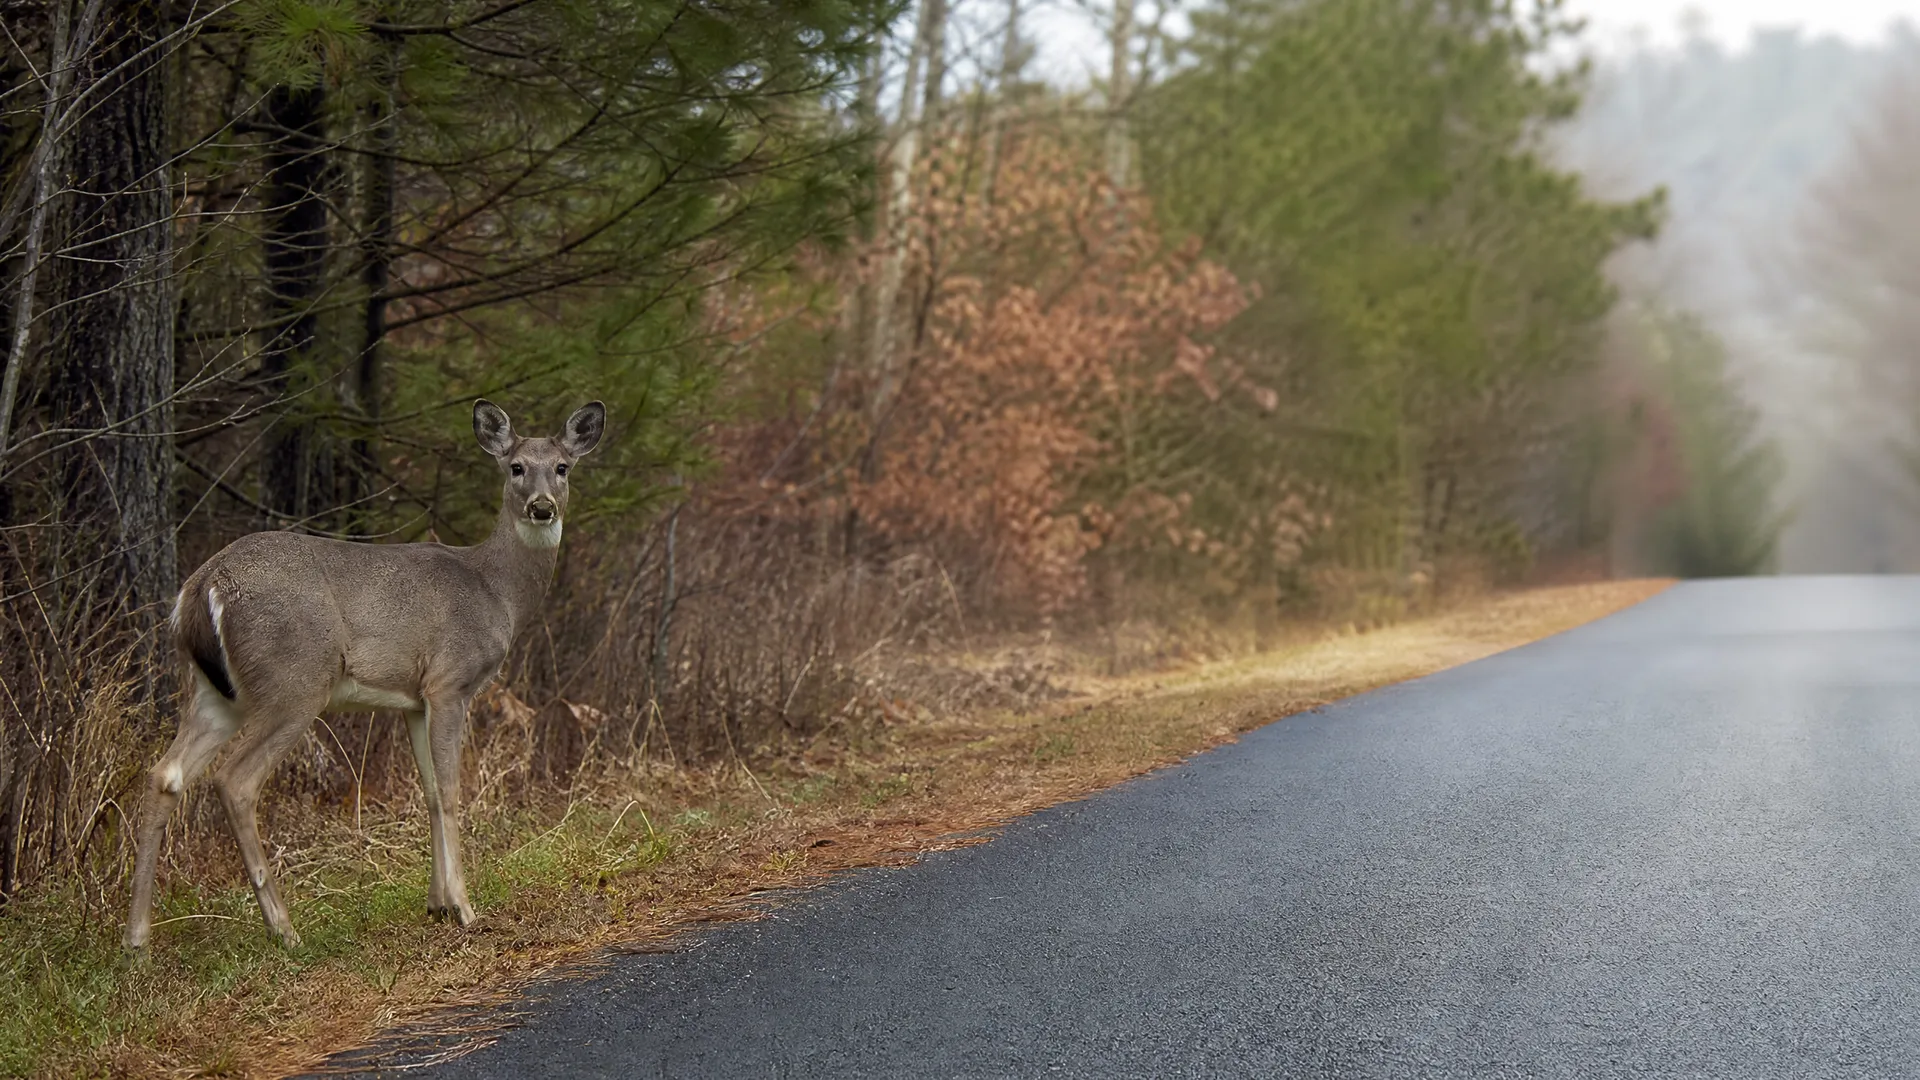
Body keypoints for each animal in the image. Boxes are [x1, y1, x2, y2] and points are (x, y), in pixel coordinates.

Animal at [123, 399, 605, 950]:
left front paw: (436, 904)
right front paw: (464, 908)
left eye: (563, 467)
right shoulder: (451, 680)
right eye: (517, 467)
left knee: (165, 774)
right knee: (235, 781)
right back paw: (284, 929)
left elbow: (430, 792)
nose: (542, 507)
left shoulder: (415, 699)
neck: (498, 591)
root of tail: (201, 587)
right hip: (295, 680)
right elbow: (451, 790)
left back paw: (136, 940)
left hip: (214, 693)